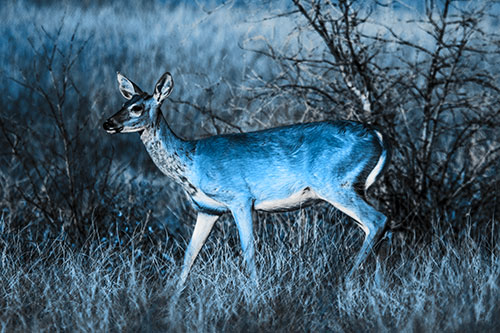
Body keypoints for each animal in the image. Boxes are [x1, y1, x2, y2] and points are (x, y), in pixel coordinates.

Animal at [101, 70, 390, 286]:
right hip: (352, 187)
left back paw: (347, 282)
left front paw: (254, 293)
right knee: (376, 228)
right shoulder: (208, 209)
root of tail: (378, 137)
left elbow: (248, 250)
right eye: (122, 103)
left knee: (378, 220)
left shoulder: (240, 197)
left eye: (137, 107)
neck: (191, 162)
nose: (107, 123)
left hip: (336, 184)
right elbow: (189, 256)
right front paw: (171, 302)